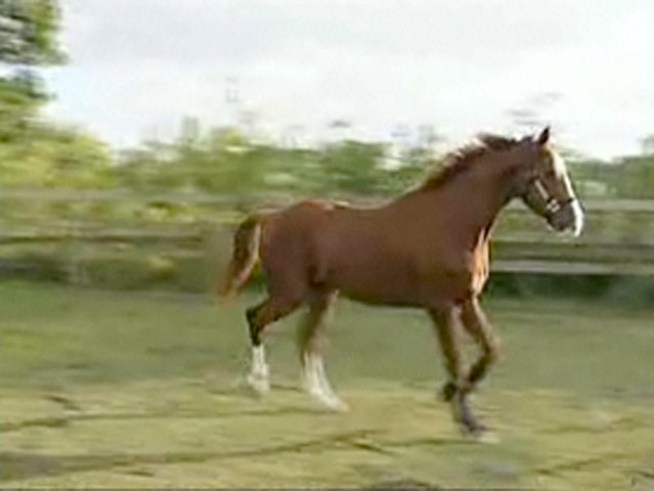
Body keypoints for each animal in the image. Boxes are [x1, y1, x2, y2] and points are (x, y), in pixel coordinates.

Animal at [220, 127, 584, 438]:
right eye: (549, 171)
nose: (574, 221)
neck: (453, 221)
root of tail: (271, 216)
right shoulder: (441, 307)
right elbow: (455, 359)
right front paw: (468, 423)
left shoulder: (466, 301)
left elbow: (491, 350)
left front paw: (453, 400)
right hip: (291, 293)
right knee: (256, 319)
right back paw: (258, 385)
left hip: (322, 296)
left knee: (308, 341)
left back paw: (326, 401)